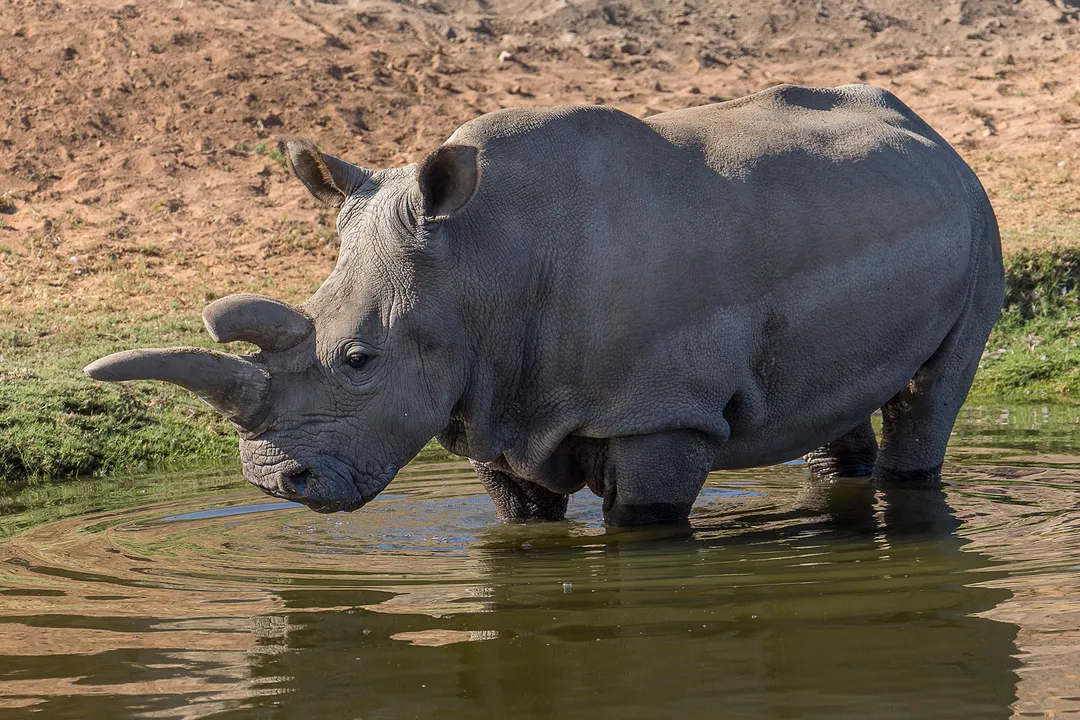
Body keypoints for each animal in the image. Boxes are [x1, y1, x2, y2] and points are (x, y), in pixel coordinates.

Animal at [86, 84, 1004, 526]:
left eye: (358, 361)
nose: (274, 481)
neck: (482, 260)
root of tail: (930, 129)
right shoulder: (493, 397)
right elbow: (523, 512)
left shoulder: (660, 412)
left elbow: (646, 516)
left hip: (977, 216)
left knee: (933, 391)